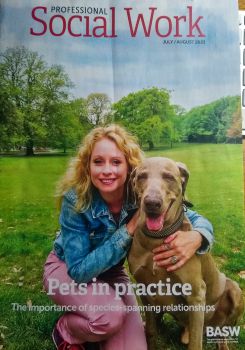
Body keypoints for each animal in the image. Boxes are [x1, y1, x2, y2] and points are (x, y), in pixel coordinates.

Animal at [128, 157, 243, 348]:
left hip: (234, 290)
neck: (157, 238)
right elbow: (151, 332)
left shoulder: (196, 294)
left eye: (169, 177)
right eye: (142, 176)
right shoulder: (144, 289)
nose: (152, 203)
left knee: (222, 329)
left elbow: (195, 344)